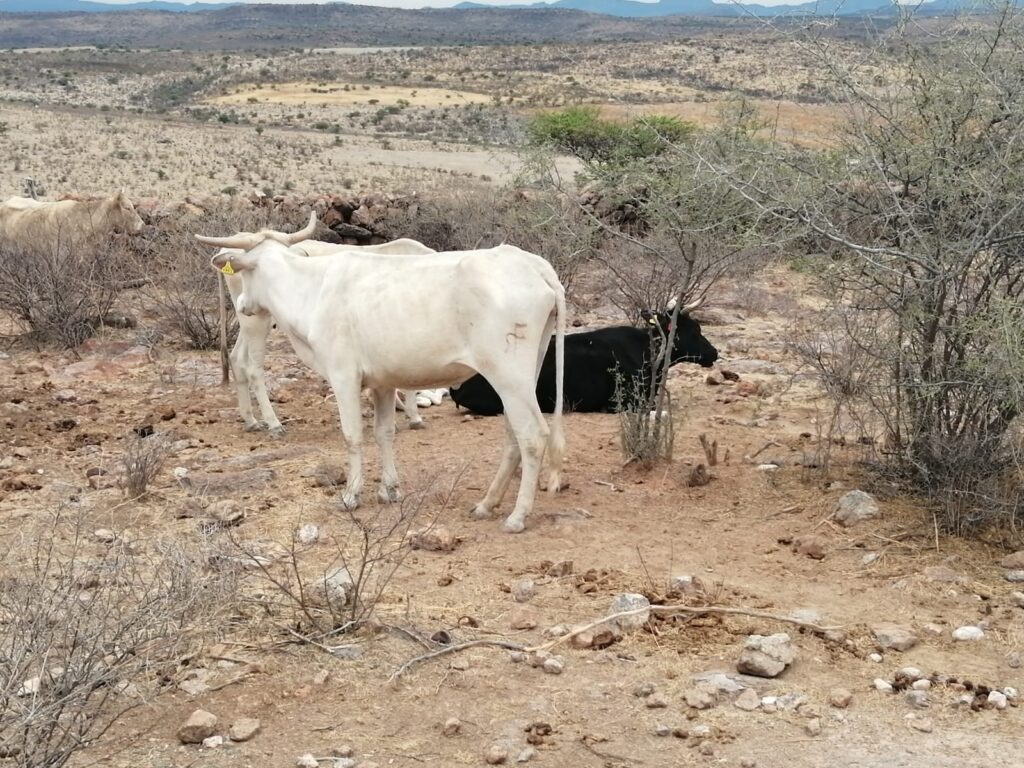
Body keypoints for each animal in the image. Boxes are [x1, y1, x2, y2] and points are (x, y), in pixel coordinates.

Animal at [198, 215, 439, 436]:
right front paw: (413, 417)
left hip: (251, 318)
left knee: (237, 358)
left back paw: (251, 420)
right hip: (256, 319)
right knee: (253, 368)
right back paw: (273, 423)